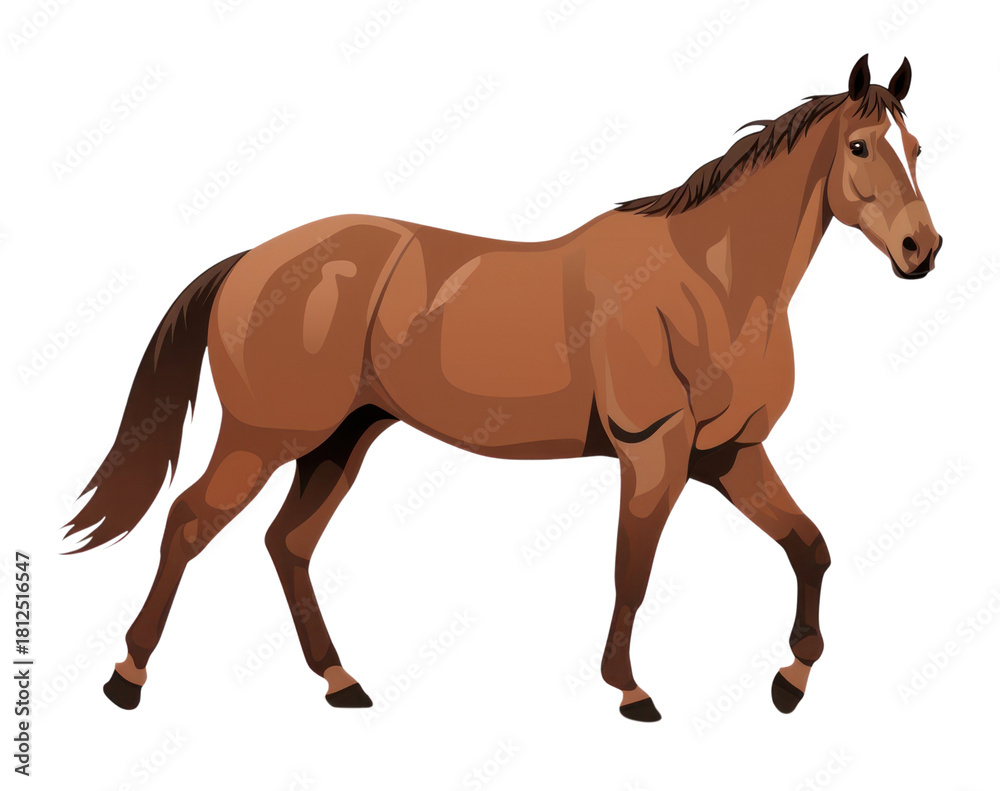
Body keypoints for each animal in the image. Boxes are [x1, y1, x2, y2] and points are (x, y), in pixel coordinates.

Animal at [66, 54, 942, 721]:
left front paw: (791, 679)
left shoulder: (730, 454)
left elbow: (810, 545)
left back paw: (341, 680)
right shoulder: (654, 453)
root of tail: (251, 259)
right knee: (189, 523)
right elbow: (633, 570)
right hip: (265, 436)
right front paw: (629, 691)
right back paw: (126, 677)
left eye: (917, 146)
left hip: (340, 441)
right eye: (860, 146)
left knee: (289, 543)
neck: (707, 281)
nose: (921, 249)